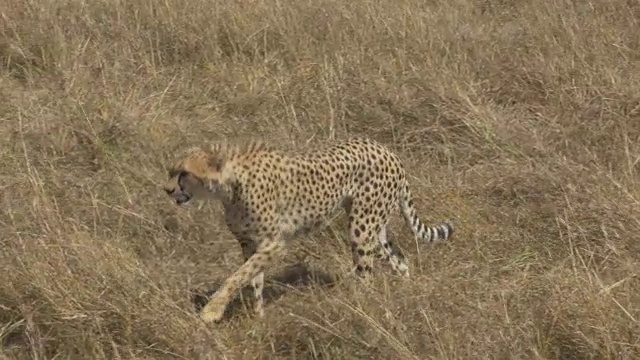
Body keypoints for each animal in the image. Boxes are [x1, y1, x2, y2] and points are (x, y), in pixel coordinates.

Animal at [165, 136, 456, 322]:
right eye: (171, 171)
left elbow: (237, 276)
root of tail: (388, 150)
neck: (229, 185)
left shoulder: (273, 243)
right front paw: (258, 319)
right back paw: (405, 294)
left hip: (361, 229)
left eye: (183, 173)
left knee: (367, 273)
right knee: (400, 259)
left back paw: (361, 308)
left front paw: (212, 311)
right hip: (375, 226)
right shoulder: (249, 243)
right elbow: (253, 279)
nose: (167, 190)